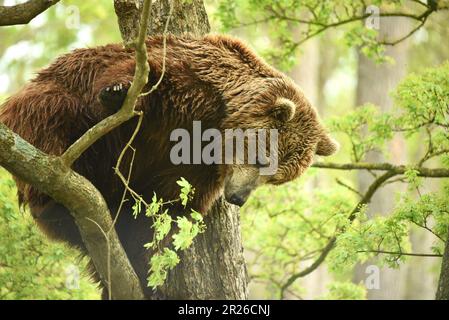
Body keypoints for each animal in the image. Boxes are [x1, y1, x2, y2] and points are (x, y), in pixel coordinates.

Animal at [0, 35, 336, 298]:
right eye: (261, 160)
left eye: (275, 179)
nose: (238, 197)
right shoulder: (183, 82)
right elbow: (142, 78)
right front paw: (116, 93)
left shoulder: (192, 169)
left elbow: (165, 207)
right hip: (46, 101)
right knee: (49, 112)